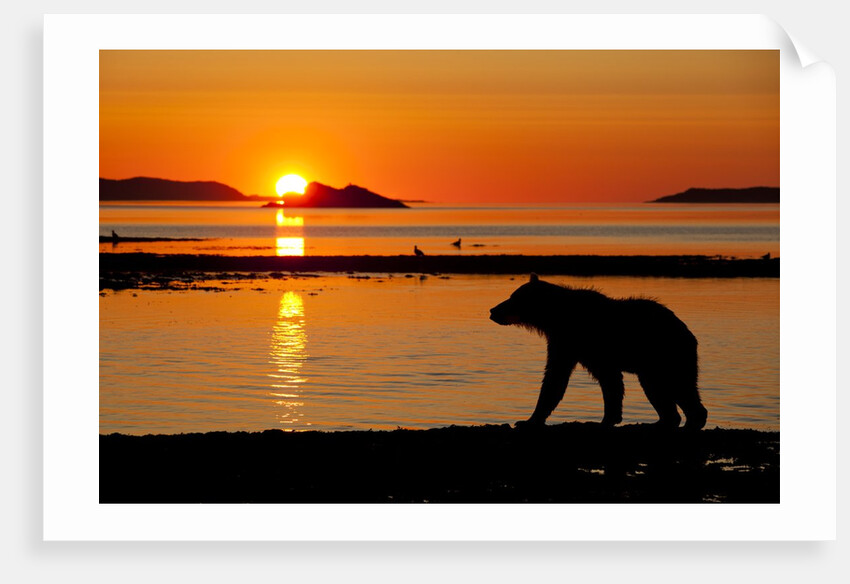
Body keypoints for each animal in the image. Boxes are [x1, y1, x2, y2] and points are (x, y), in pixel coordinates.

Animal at [489, 274, 707, 430]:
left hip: (667, 353)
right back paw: (664, 420)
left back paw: (690, 420)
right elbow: (562, 377)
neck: (555, 317)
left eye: (512, 298)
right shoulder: (570, 344)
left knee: (678, 385)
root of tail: (688, 332)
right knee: (664, 389)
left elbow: (559, 377)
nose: (492, 310)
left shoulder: (579, 342)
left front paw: (529, 420)